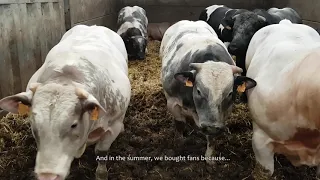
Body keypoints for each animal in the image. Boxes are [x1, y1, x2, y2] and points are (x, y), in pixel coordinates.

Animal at [160, 20, 258, 165]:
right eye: (198, 91)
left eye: (230, 93)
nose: (210, 126)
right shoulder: (172, 102)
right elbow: (180, 124)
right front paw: (180, 142)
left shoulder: (222, 114)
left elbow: (211, 138)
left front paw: (210, 157)